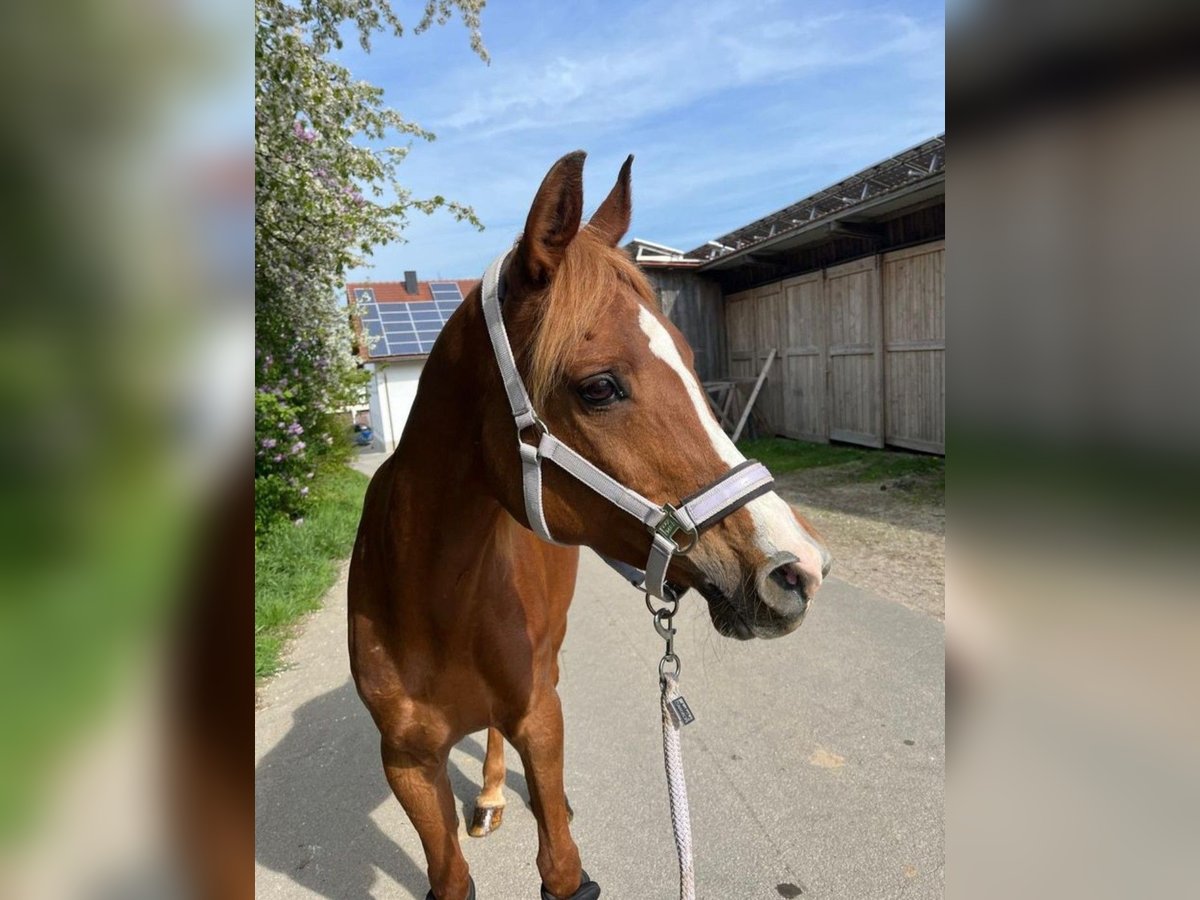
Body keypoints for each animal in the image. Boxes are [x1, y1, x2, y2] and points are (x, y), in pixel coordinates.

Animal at [350, 151, 830, 897]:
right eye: (600, 386)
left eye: (692, 362)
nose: (798, 566)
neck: (430, 602)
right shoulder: (405, 764)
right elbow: (451, 875)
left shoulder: (540, 720)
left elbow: (561, 861)